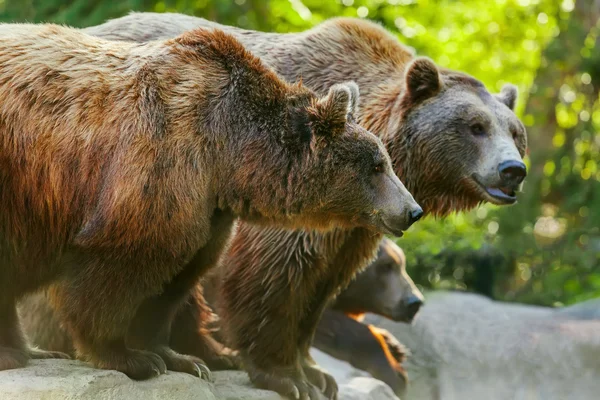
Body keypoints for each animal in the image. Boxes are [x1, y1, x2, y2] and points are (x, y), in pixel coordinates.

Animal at [21, 12, 528, 396]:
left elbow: (319, 289)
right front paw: (290, 377)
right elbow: (274, 276)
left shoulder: (349, 230)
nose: (513, 170)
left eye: (514, 130)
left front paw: (315, 371)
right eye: (475, 126)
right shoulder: (277, 186)